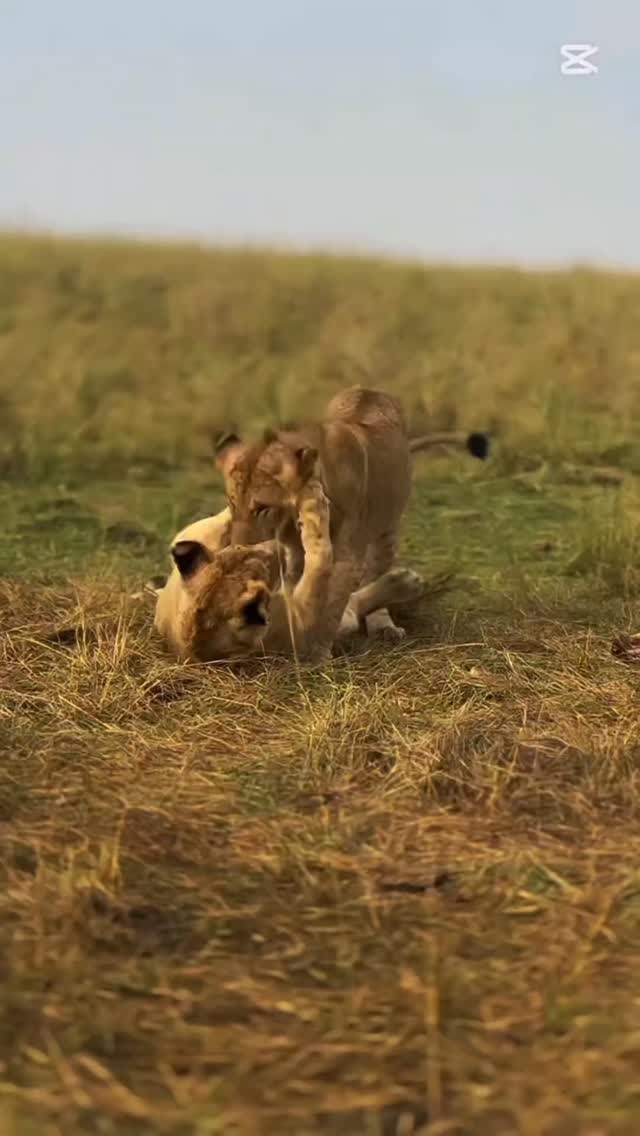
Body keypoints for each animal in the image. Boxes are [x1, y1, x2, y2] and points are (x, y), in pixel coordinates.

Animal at [154, 479, 425, 662]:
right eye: (263, 568)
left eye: (244, 550)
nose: (273, 548)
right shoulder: (312, 635)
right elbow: (323, 563)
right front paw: (405, 582)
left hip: (193, 535)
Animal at [215, 386, 487, 651]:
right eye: (232, 502)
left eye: (262, 508)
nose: (238, 547)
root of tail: (370, 390)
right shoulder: (293, 555)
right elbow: (297, 589)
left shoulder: (347, 556)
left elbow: (331, 605)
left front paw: (316, 646)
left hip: (387, 529)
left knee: (378, 569)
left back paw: (384, 624)